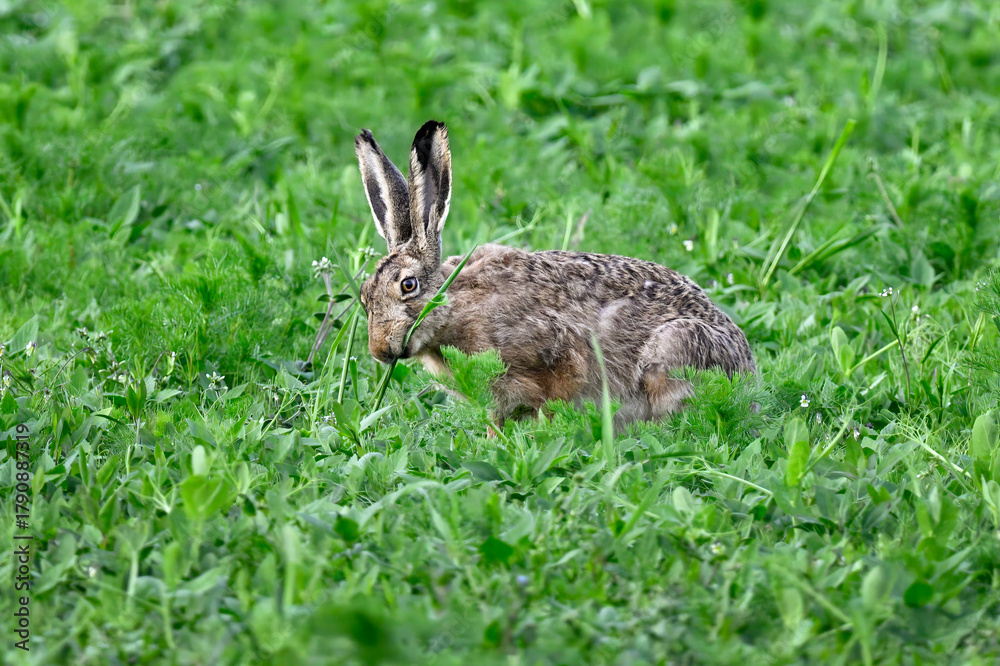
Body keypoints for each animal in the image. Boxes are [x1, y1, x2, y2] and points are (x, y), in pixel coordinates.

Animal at [355, 120, 755, 429]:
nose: (379, 350)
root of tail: (749, 375)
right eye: (364, 295)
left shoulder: (555, 361)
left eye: (408, 285)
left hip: (673, 349)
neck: (454, 306)